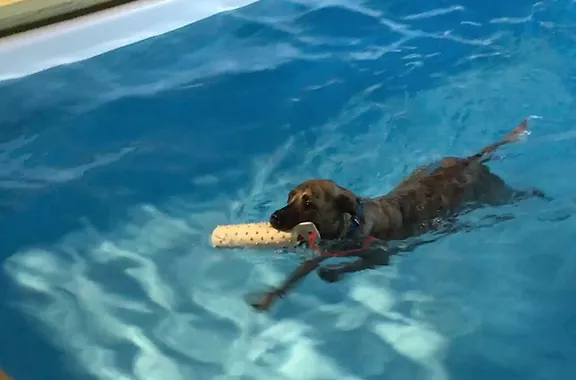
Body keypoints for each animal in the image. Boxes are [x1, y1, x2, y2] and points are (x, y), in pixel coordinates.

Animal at [246, 120, 544, 314]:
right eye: (289, 196)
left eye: (308, 202)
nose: (273, 217)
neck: (348, 227)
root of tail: (468, 160)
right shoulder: (320, 251)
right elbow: (293, 277)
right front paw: (269, 296)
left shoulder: (379, 255)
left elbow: (355, 265)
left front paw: (333, 272)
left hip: (495, 194)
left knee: (516, 194)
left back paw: (536, 193)